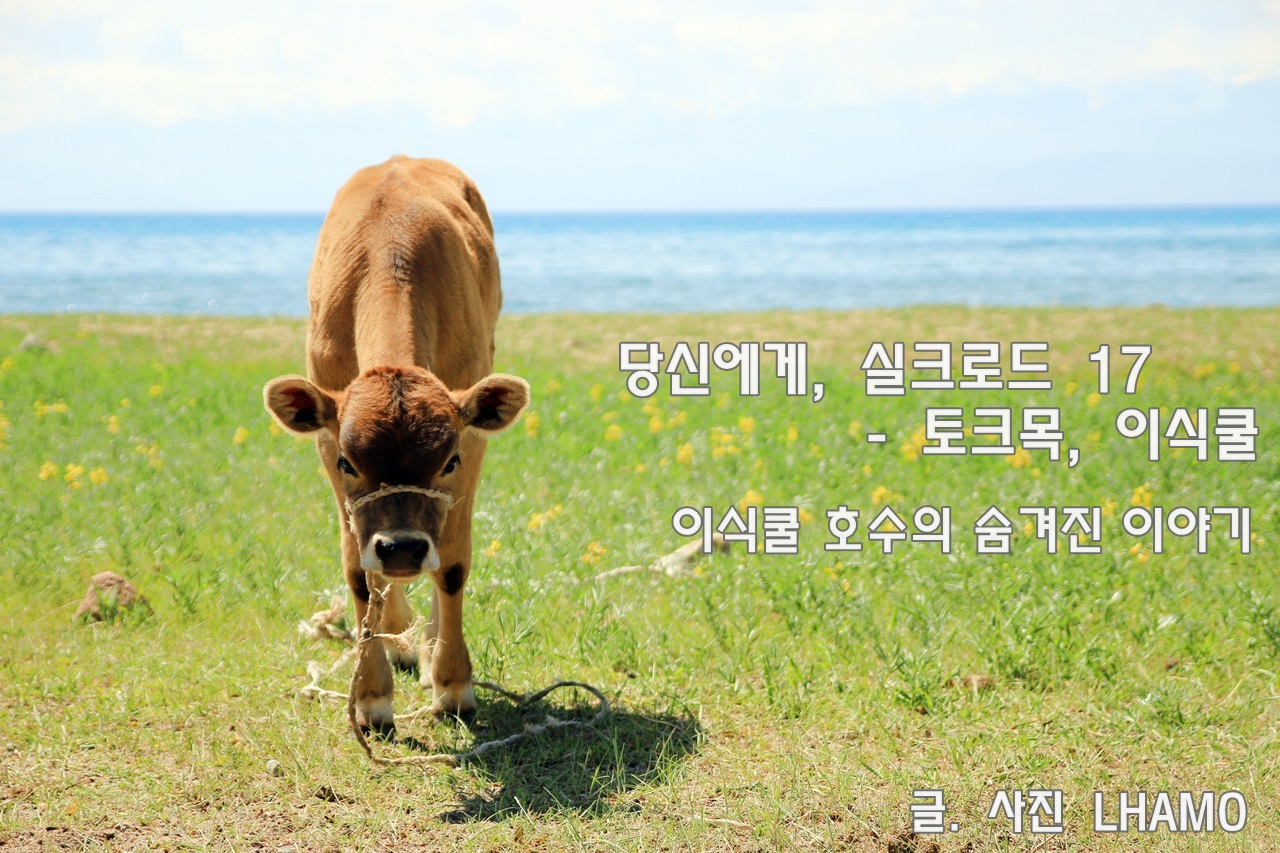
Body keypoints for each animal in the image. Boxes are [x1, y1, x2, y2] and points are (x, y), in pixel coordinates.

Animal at [262, 157, 527, 732]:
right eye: (348, 462)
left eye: (447, 461)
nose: (403, 547)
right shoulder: (325, 439)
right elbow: (360, 575)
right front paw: (370, 694)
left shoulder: (472, 440)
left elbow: (452, 565)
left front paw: (452, 683)